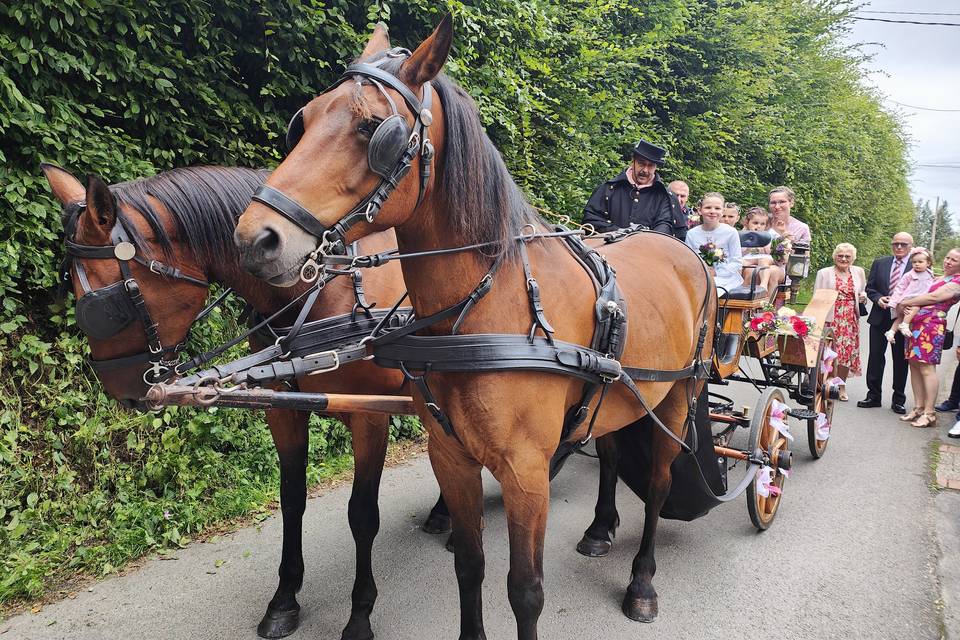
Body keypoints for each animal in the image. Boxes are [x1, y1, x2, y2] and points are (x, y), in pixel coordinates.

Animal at [41, 164, 454, 640]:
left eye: (108, 304)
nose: (123, 391)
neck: (315, 292)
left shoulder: (370, 414)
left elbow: (362, 514)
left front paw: (360, 614)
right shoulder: (285, 410)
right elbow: (292, 499)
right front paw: (284, 600)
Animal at [232, 17, 712, 636]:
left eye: (373, 128)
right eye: (305, 120)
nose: (255, 239)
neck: (481, 313)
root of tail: (681, 249)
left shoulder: (526, 473)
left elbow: (525, 591)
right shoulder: (450, 454)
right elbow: (470, 564)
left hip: (677, 394)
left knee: (656, 486)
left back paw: (642, 583)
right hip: (617, 399)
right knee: (608, 455)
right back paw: (600, 529)